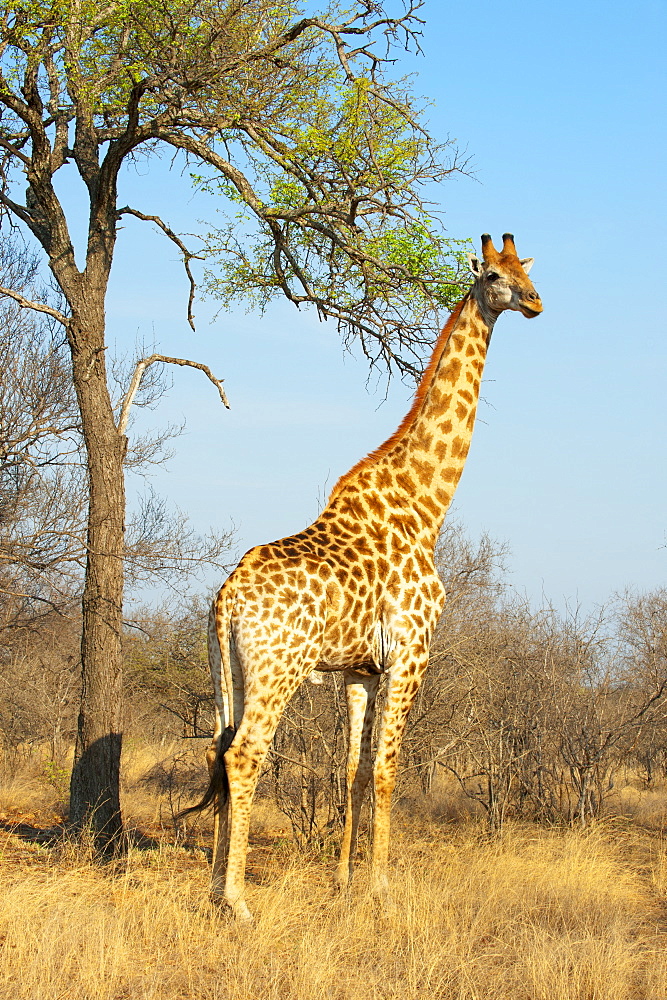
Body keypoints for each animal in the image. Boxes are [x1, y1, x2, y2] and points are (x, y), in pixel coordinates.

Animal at [185, 234, 540, 920]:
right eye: (492, 275)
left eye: (526, 268)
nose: (536, 301)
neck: (425, 509)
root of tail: (225, 599)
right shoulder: (412, 654)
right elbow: (386, 768)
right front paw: (380, 888)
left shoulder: (359, 671)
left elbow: (349, 768)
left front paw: (345, 883)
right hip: (278, 668)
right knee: (245, 754)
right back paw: (238, 902)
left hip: (230, 670)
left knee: (218, 747)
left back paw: (215, 889)